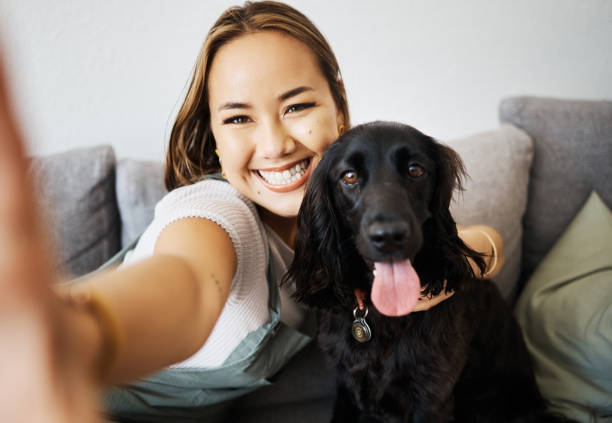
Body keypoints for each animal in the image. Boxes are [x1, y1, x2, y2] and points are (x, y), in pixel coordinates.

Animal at [284, 122, 572, 423]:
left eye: (415, 170)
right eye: (349, 176)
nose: (389, 236)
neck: (383, 315)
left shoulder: (431, 396)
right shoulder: (347, 386)